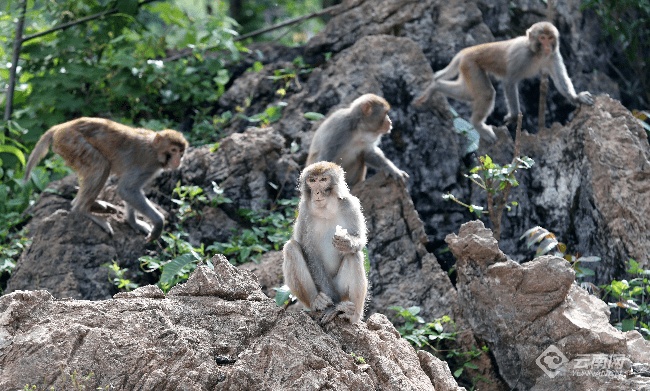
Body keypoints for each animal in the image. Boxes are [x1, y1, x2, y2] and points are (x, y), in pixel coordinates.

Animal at [23, 116, 187, 242]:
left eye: (181, 152)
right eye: (173, 150)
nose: (178, 160)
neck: (154, 149)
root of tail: (60, 127)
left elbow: (130, 192)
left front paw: (133, 222)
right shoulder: (147, 165)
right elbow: (126, 190)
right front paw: (158, 224)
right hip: (73, 143)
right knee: (101, 165)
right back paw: (82, 209)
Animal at [282, 162, 368, 324]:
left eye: (323, 179)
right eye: (312, 181)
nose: (316, 192)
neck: (327, 208)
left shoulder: (350, 204)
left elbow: (360, 240)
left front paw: (347, 243)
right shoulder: (304, 210)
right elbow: (310, 254)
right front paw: (329, 307)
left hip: (342, 291)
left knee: (354, 255)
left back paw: (353, 315)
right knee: (291, 248)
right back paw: (318, 301)